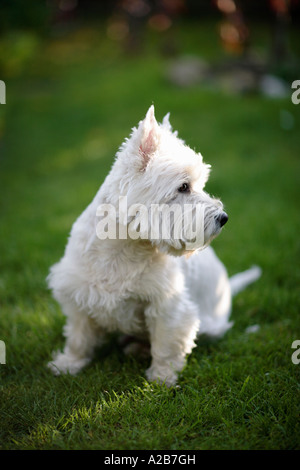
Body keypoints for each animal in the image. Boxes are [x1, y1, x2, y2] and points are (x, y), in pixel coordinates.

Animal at [47, 106, 260, 386]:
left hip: (213, 325)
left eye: (199, 185)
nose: (223, 218)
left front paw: (161, 379)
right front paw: (68, 364)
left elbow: (166, 344)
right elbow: (78, 337)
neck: (124, 247)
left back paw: (137, 348)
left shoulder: (168, 305)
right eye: (183, 186)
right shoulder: (78, 293)